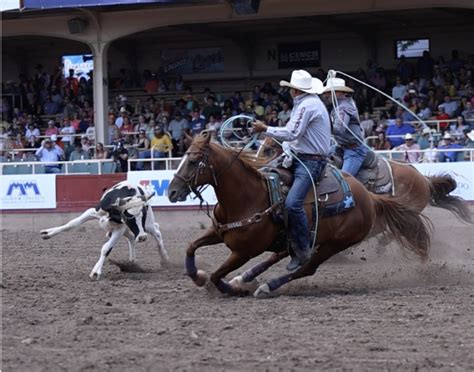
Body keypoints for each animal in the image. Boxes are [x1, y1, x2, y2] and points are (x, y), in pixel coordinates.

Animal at [40, 180, 169, 280]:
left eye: (143, 215)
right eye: (128, 216)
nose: (142, 237)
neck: (113, 211)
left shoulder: (120, 229)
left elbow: (106, 248)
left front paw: (96, 272)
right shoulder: (93, 212)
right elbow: (71, 224)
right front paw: (48, 233)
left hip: (147, 225)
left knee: (156, 231)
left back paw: (164, 259)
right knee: (132, 237)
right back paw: (132, 262)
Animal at [168, 132, 434, 298]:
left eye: (193, 161)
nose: (171, 192)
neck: (247, 197)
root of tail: (369, 197)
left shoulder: (244, 251)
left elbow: (216, 276)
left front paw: (230, 288)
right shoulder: (218, 231)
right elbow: (191, 247)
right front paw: (198, 276)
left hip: (334, 243)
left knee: (306, 268)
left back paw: (265, 286)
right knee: (285, 256)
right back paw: (245, 278)